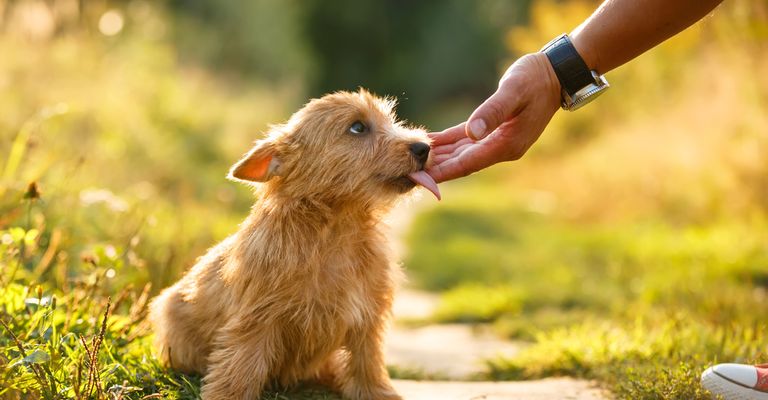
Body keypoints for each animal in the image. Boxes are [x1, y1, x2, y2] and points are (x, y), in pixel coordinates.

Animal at [148, 90, 438, 400]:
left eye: (389, 119)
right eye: (358, 127)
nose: (423, 147)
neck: (336, 230)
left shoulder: (366, 316)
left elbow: (367, 363)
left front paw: (378, 393)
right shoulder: (258, 318)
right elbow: (241, 364)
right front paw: (229, 396)